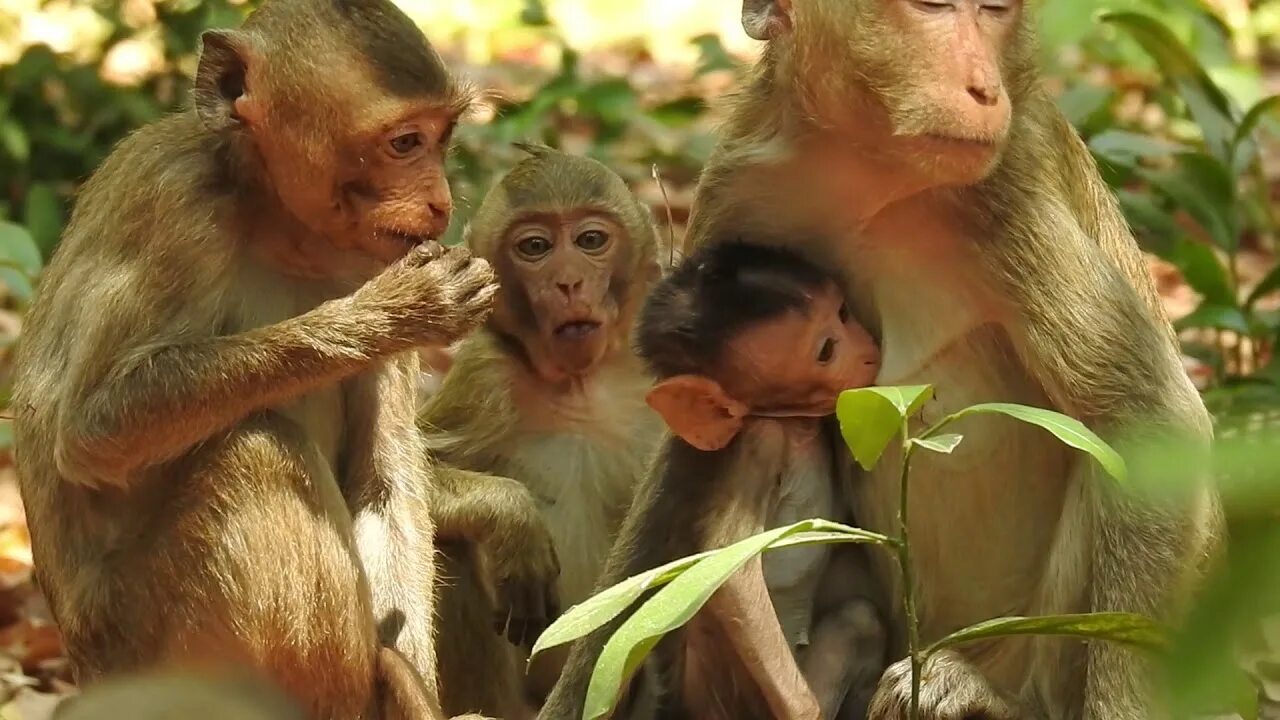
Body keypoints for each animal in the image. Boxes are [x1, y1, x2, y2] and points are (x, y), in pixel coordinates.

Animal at [8, 0, 499, 717]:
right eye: (404, 143)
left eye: (442, 137)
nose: (440, 200)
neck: (279, 222)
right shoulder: (172, 200)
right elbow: (92, 431)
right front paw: (393, 314)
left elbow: (383, 480)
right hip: (154, 655)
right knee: (257, 452)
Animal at [419, 142, 666, 713]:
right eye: (535, 247)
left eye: (590, 241)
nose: (568, 282)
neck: (578, 387)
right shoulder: (485, 375)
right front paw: (511, 517)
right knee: (449, 544)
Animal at [541, 239, 888, 720]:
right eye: (826, 351)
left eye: (842, 312)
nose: (869, 350)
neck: (792, 423)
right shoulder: (759, 444)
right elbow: (731, 572)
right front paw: (804, 711)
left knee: (861, 622)